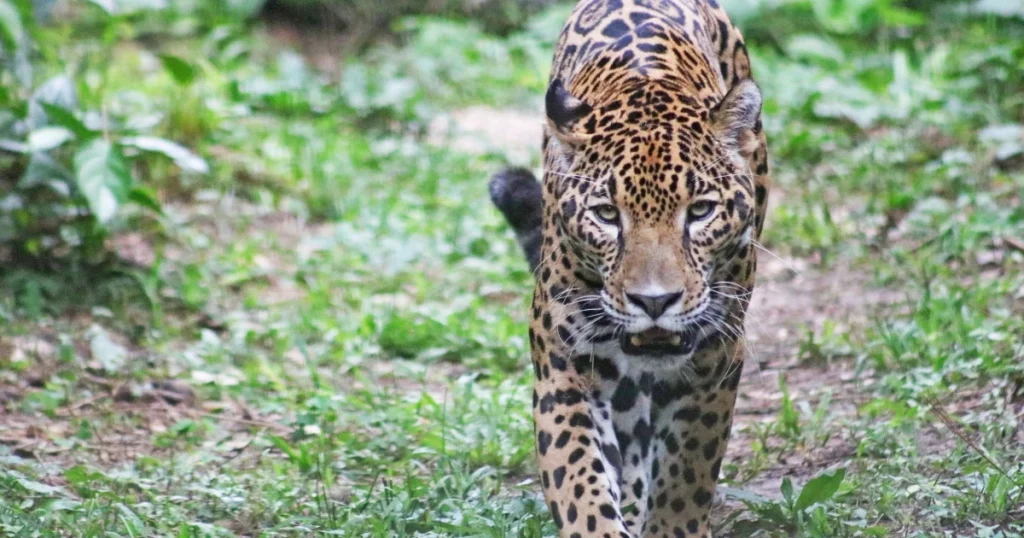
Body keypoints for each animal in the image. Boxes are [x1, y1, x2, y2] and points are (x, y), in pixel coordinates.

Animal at [488, 1, 770, 537]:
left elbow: (686, 475)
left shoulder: (716, 359)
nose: (654, 301)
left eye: (700, 211)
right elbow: (578, 482)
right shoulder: (563, 364)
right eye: (606, 215)